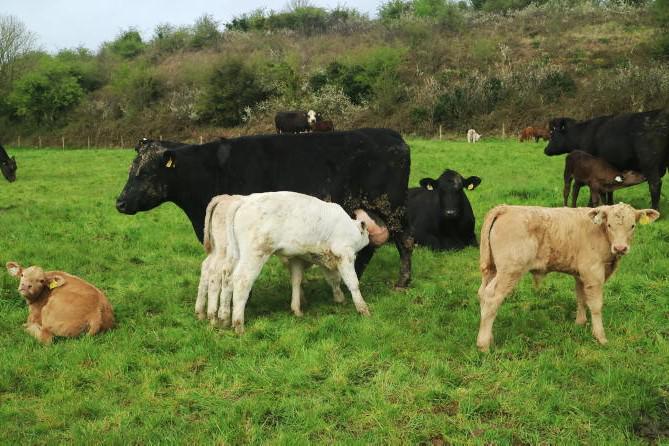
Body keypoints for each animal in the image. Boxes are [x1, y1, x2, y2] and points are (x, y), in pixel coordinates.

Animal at [116, 129, 414, 288]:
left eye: (145, 173)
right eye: (131, 170)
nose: (119, 202)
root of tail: (391, 135)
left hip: (392, 207)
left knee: (405, 241)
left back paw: (402, 282)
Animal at [198, 192, 372, 333]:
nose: (370, 236)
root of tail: (243, 201)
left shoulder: (303, 258)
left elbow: (305, 280)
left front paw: (301, 308)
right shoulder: (344, 254)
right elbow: (352, 282)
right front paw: (363, 309)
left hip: (232, 253)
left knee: (224, 276)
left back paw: (221, 318)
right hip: (254, 254)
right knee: (241, 280)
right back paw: (237, 324)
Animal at [476, 203, 659, 351]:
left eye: (632, 226)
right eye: (609, 225)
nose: (620, 248)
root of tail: (506, 208)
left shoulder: (580, 275)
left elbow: (581, 298)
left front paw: (580, 323)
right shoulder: (593, 274)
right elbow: (596, 306)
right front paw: (600, 337)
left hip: (492, 269)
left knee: (482, 294)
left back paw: (488, 337)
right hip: (510, 271)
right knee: (492, 298)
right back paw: (483, 345)